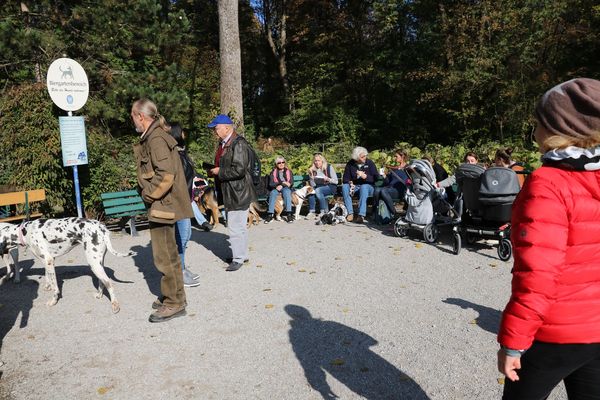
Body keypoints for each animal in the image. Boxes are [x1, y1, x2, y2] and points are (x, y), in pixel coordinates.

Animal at [0, 217, 136, 314]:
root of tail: (102, 227)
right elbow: (47, 276)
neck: (25, 231)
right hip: (98, 262)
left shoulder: (49, 260)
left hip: (93, 263)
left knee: (109, 283)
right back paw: (99, 295)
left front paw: (53, 300)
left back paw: (115, 305)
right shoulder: (47, 260)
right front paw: (47, 286)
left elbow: (55, 287)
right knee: (102, 281)